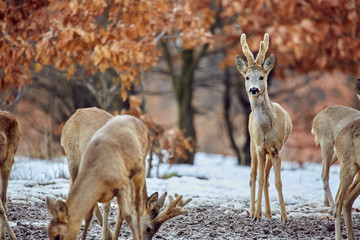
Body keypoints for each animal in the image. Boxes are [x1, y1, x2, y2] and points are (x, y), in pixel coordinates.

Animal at [54, 108, 190, 239]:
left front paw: (113, 236)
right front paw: (104, 237)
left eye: (157, 231)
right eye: (148, 228)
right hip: (72, 155)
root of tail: (72, 116)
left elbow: (121, 214)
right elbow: (107, 206)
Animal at [233, 33, 292, 221]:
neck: (266, 128)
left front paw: (284, 217)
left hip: (270, 152)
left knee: (266, 177)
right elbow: (259, 179)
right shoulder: (259, 148)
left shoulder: (276, 149)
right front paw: (256, 216)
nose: (253, 90)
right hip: (252, 146)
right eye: (246, 77)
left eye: (262, 77)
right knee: (253, 176)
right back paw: (253, 211)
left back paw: (268, 213)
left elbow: (278, 182)